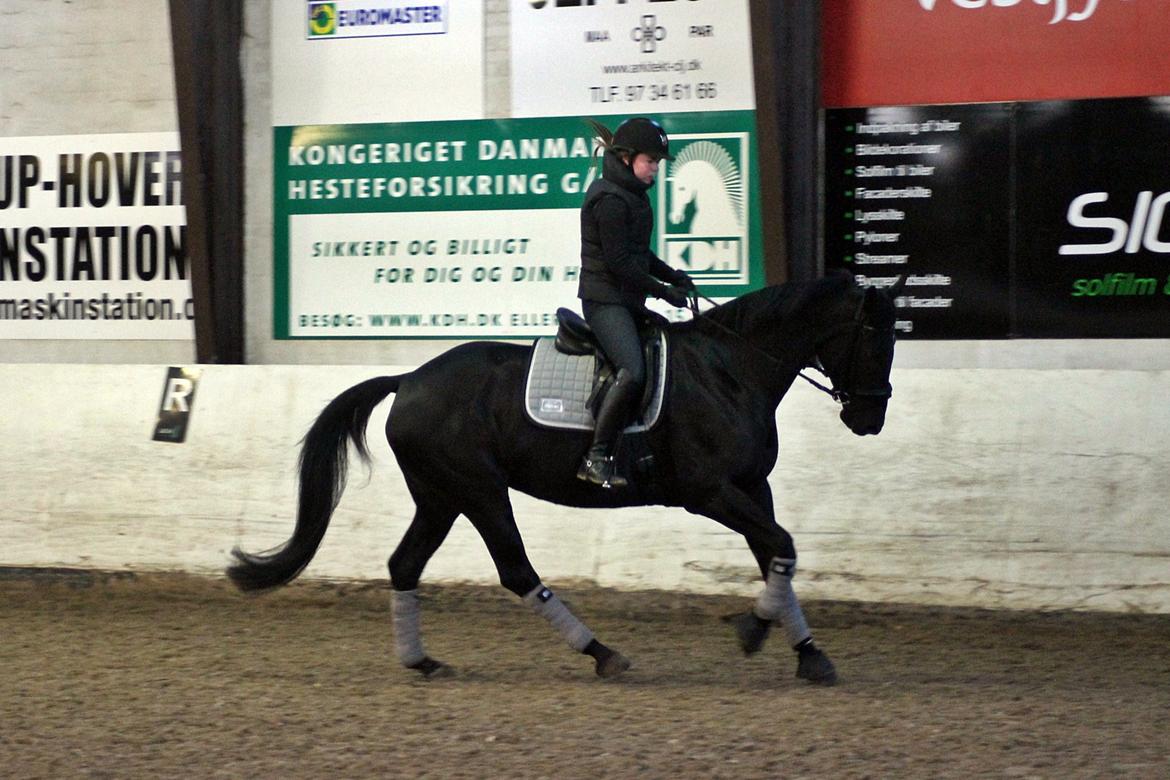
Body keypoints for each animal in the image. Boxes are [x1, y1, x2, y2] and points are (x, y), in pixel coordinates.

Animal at [228, 273, 893, 682]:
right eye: (871, 336)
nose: (870, 419)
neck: (729, 370)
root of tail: (409, 379)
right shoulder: (710, 494)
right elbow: (781, 544)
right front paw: (754, 631)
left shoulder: (753, 487)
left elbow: (776, 553)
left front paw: (809, 655)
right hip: (478, 491)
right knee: (515, 570)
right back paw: (602, 653)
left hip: (440, 496)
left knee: (405, 565)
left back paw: (423, 662)